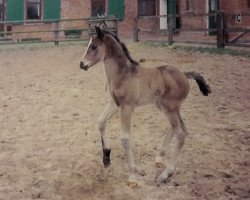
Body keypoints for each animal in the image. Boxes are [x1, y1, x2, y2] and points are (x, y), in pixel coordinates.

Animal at [80, 27, 211, 188]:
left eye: (93, 47)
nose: (82, 64)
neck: (123, 75)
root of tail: (185, 75)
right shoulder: (115, 104)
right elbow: (100, 121)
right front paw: (106, 157)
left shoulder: (127, 107)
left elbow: (125, 138)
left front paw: (132, 176)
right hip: (167, 107)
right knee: (181, 128)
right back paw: (159, 157)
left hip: (169, 108)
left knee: (181, 133)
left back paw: (165, 175)